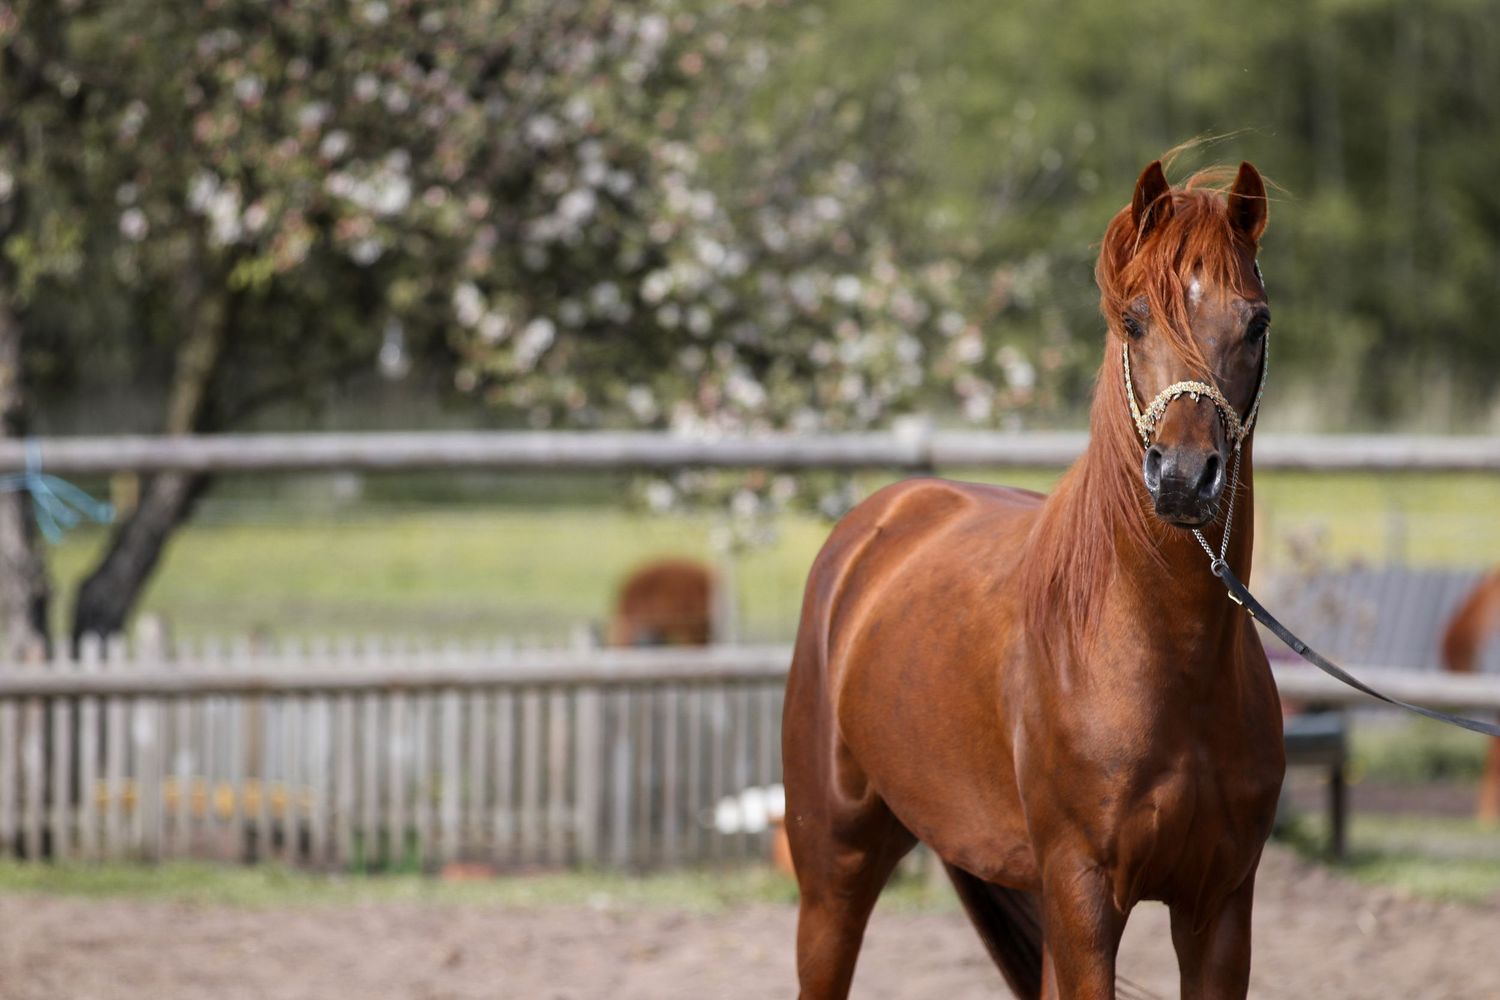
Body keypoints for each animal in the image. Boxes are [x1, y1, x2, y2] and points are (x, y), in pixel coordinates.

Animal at [783, 160, 1284, 1000]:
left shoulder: (1221, 909)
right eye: (1135, 322)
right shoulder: (1083, 895)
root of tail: (883, 519)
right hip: (833, 875)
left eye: (1257, 324)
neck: (1163, 658)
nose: (1185, 477)